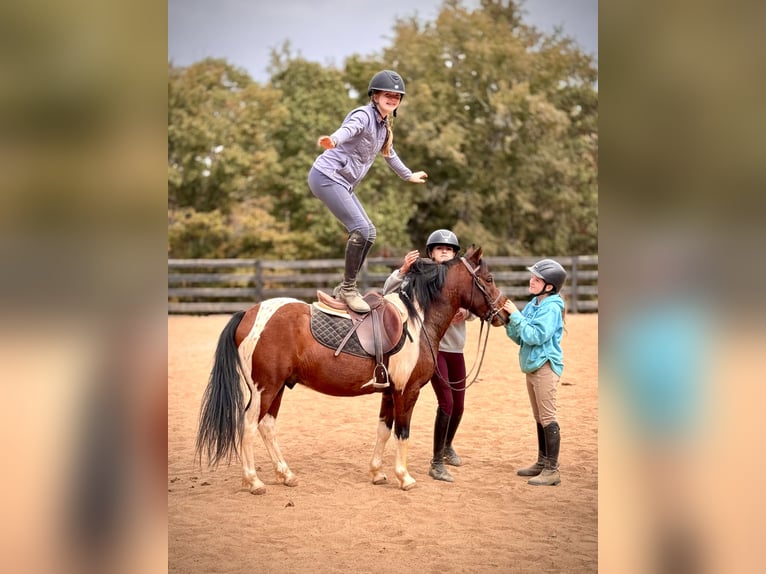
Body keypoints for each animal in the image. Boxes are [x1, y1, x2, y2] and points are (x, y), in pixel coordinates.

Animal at [195, 245, 509, 492]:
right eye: (489, 278)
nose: (505, 314)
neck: (417, 319)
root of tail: (249, 314)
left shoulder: (389, 392)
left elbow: (384, 430)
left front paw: (377, 473)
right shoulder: (406, 391)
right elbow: (402, 432)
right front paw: (405, 478)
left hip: (278, 388)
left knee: (267, 426)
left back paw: (286, 475)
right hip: (265, 388)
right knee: (249, 425)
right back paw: (254, 481)